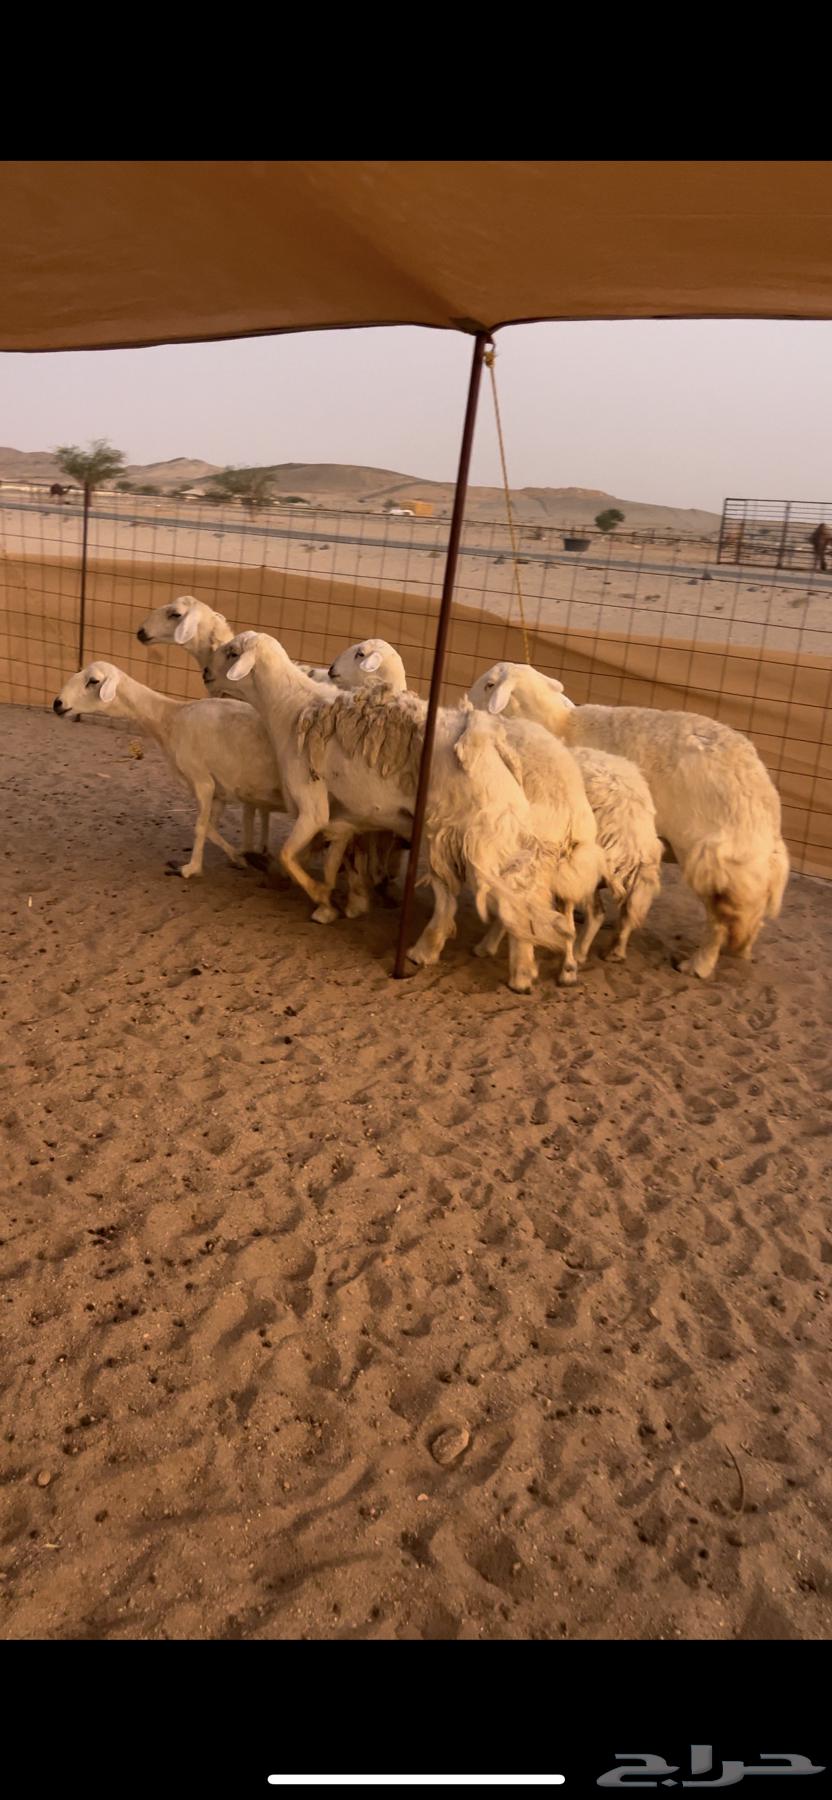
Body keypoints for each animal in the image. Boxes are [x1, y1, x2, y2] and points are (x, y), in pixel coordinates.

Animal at [53, 661, 284, 879]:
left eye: (93, 681)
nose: (57, 703)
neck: (170, 718)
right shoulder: (219, 790)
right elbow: (209, 827)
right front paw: (238, 857)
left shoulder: (203, 781)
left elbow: (200, 827)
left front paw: (191, 868)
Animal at [469, 661, 790, 980]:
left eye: (489, 684)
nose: (466, 703)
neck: (559, 724)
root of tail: (765, 798)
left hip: (710, 860)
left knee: (719, 921)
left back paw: (698, 964)